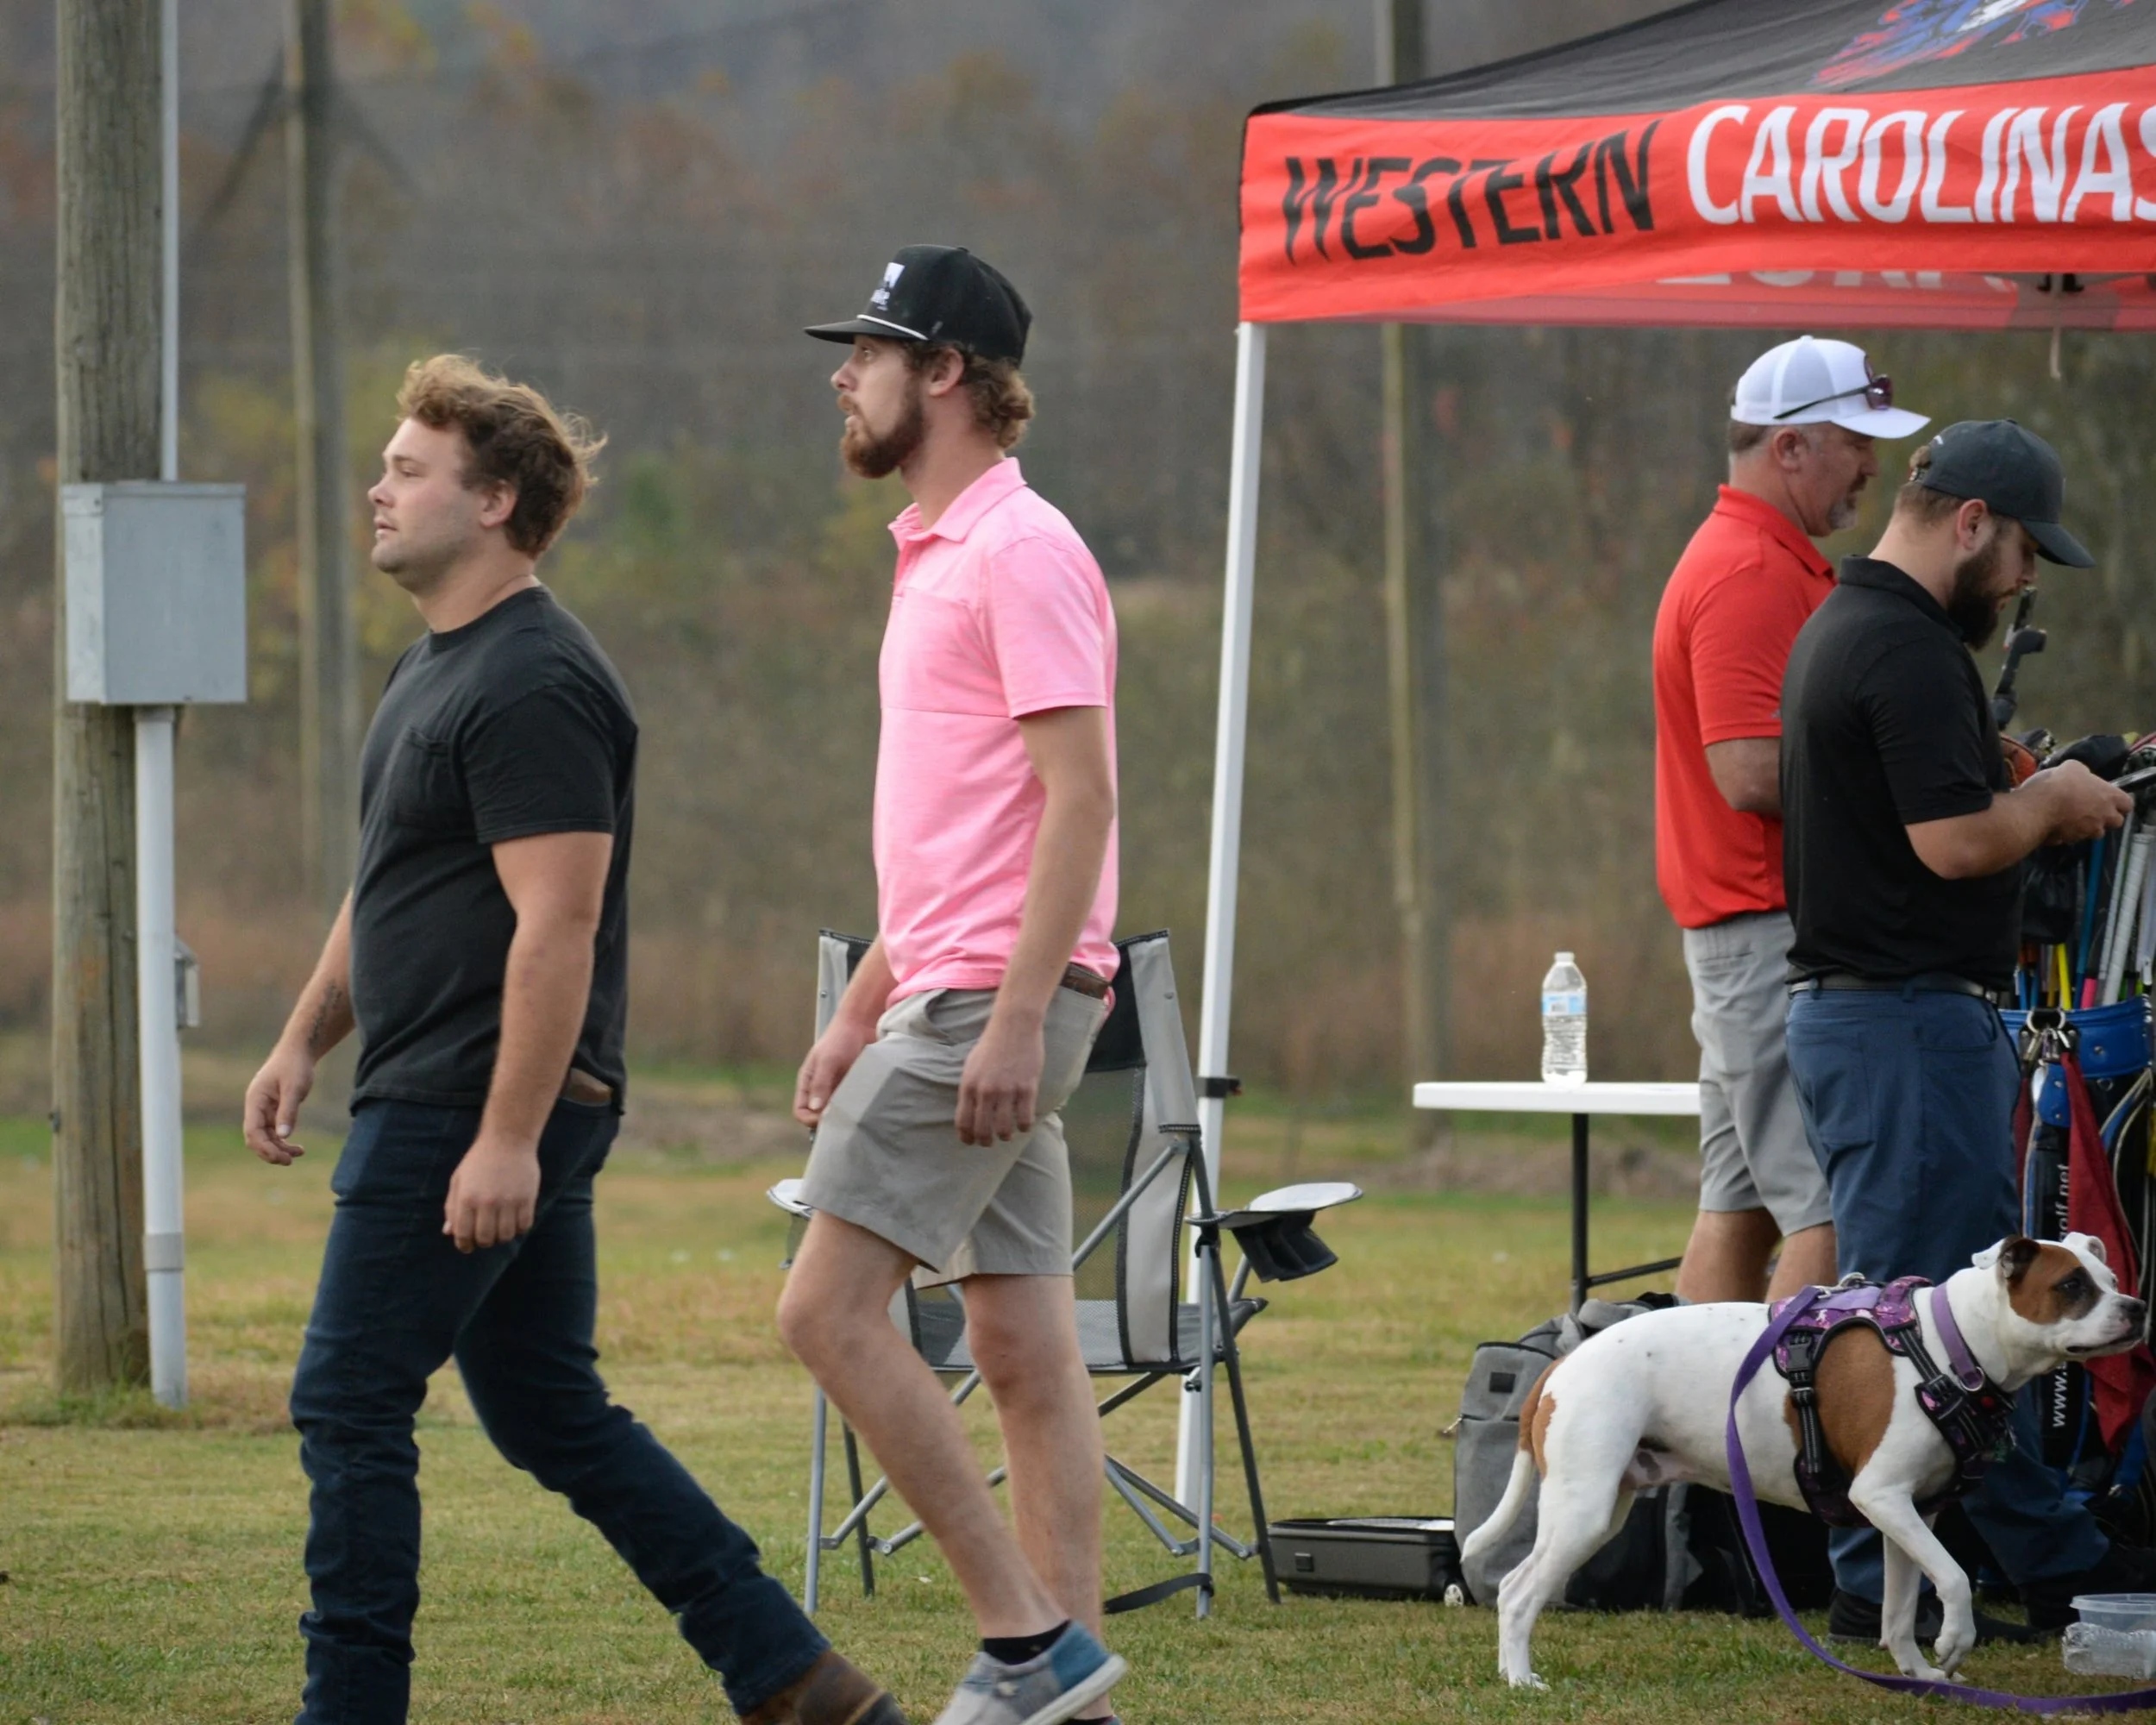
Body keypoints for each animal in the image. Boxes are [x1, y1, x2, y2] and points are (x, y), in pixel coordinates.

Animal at [1459, 1234, 2147, 1689]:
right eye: (2071, 1287)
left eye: (2111, 1280)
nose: (2137, 1308)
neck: (1950, 1346)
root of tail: (1563, 1364)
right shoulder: (1881, 1495)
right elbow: (1953, 1578)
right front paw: (1955, 1641)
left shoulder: (1908, 1513)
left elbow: (1900, 1609)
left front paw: (1916, 1673)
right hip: (1584, 1508)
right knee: (1518, 1593)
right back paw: (1521, 1681)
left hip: (1604, 1508)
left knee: (1520, 1586)